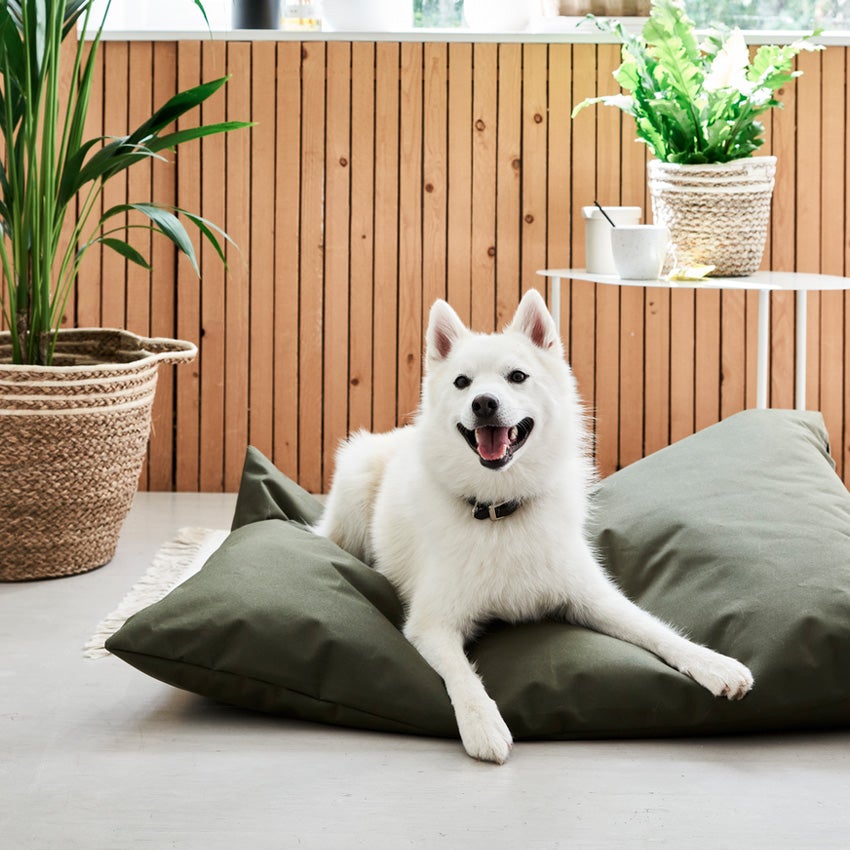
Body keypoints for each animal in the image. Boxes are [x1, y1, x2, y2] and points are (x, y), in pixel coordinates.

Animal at [314, 290, 752, 760]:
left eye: (517, 376)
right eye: (462, 382)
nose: (484, 403)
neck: (499, 509)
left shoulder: (593, 597)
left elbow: (655, 629)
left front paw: (713, 662)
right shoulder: (432, 624)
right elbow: (463, 676)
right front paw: (482, 723)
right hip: (355, 482)